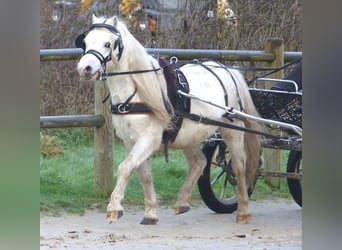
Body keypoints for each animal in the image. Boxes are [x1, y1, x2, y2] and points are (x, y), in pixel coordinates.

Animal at [76, 14, 260, 225]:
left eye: (107, 43)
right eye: (86, 42)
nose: (84, 68)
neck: (137, 92)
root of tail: (228, 70)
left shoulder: (149, 139)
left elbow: (125, 168)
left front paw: (114, 207)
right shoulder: (132, 141)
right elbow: (143, 174)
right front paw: (150, 213)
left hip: (233, 130)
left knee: (239, 167)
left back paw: (243, 210)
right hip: (189, 134)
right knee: (199, 162)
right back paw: (182, 201)